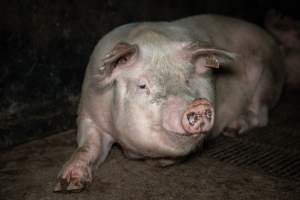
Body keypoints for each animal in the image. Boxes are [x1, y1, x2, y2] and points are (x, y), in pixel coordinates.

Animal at [53, 14, 284, 192]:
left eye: (188, 79)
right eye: (143, 85)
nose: (198, 105)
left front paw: (158, 163)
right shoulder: (88, 113)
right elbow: (87, 146)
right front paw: (67, 184)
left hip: (268, 78)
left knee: (261, 114)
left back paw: (233, 129)